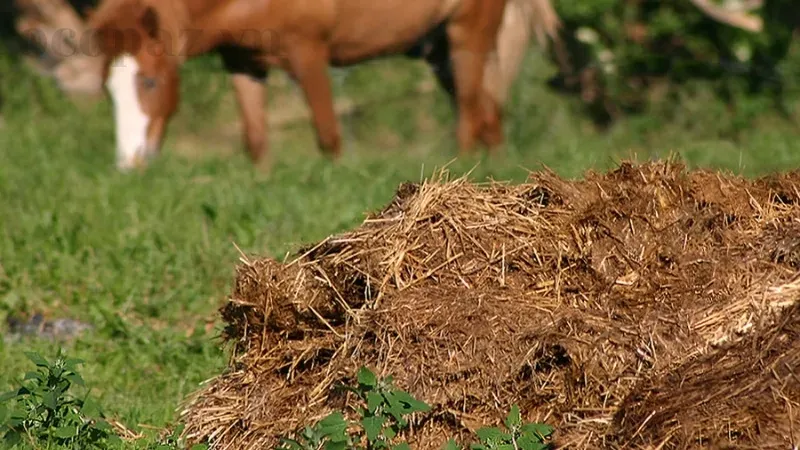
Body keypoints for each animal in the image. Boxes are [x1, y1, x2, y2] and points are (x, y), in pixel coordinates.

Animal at [79, 0, 556, 171]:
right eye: (109, 90)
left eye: (149, 80)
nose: (128, 162)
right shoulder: (243, 62)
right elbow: (256, 140)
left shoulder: (307, 52)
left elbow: (329, 136)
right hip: (436, 47)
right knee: (489, 113)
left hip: (467, 33)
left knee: (470, 115)